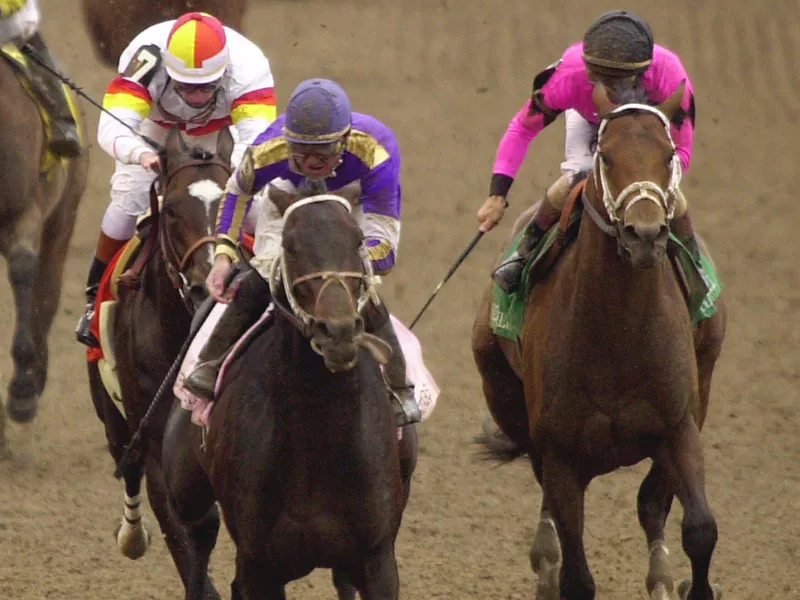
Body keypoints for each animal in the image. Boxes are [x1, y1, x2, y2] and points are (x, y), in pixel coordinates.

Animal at [87, 124, 233, 596]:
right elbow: (182, 533)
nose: (207, 287)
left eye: (232, 203)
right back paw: (132, 535)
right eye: (170, 210)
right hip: (112, 415)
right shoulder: (154, 445)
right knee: (128, 465)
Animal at [159, 192, 416, 600]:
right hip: (188, 492)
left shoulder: (375, 558)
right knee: (198, 541)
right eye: (290, 246)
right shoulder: (260, 564)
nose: (337, 332)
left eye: (358, 240)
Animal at [472, 83, 728, 600]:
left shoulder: (680, 425)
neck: (618, 332)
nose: (645, 234)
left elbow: (698, 527)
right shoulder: (561, 450)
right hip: (503, 389)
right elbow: (576, 572)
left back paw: (660, 577)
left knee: (652, 505)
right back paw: (546, 561)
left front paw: (689, 585)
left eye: (669, 154)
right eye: (605, 157)